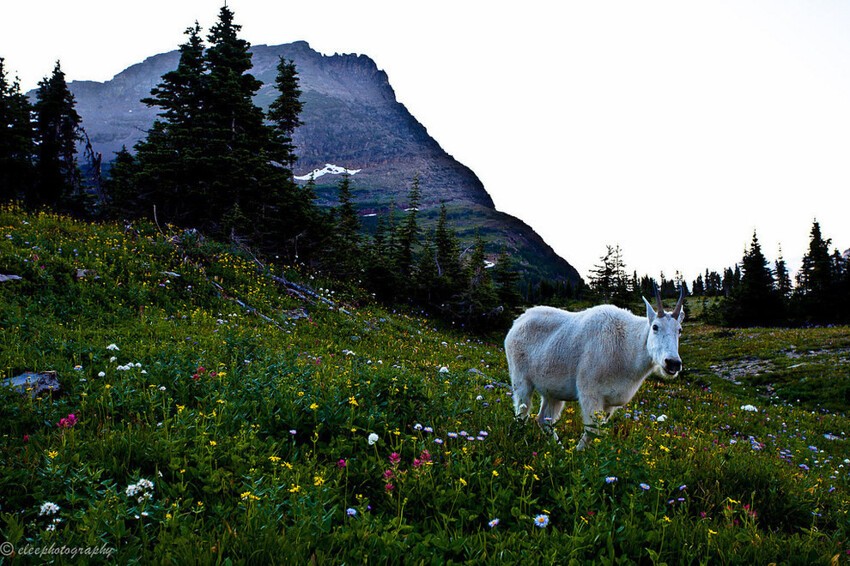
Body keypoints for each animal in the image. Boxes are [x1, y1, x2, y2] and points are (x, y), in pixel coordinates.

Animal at [504, 290, 684, 450]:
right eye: (655, 327)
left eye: (680, 330)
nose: (673, 363)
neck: (629, 345)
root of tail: (516, 323)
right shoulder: (589, 392)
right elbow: (592, 430)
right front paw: (578, 455)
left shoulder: (610, 402)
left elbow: (599, 431)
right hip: (521, 379)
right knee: (522, 413)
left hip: (552, 391)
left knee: (544, 420)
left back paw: (558, 449)